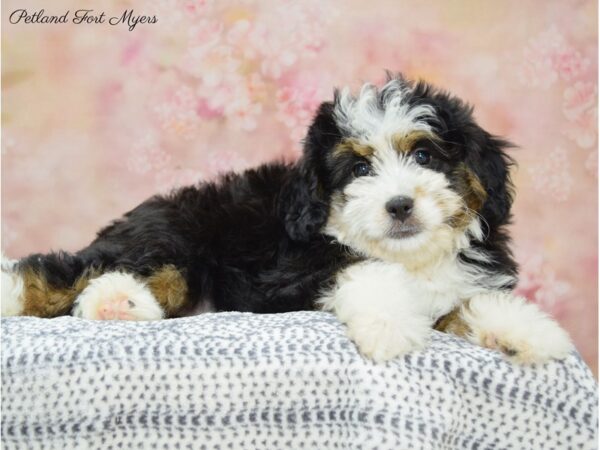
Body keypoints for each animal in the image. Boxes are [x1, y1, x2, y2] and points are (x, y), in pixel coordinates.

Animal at [1, 75, 572, 364]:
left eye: (425, 156)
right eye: (359, 168)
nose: (399, 205)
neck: (412, 259)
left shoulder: (461, 279)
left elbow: (470, 301)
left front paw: (526, 332)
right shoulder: (288, 275)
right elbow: (359, 270)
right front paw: (390, 325)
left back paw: (118, 305)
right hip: (171, 236)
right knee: (69, 271)